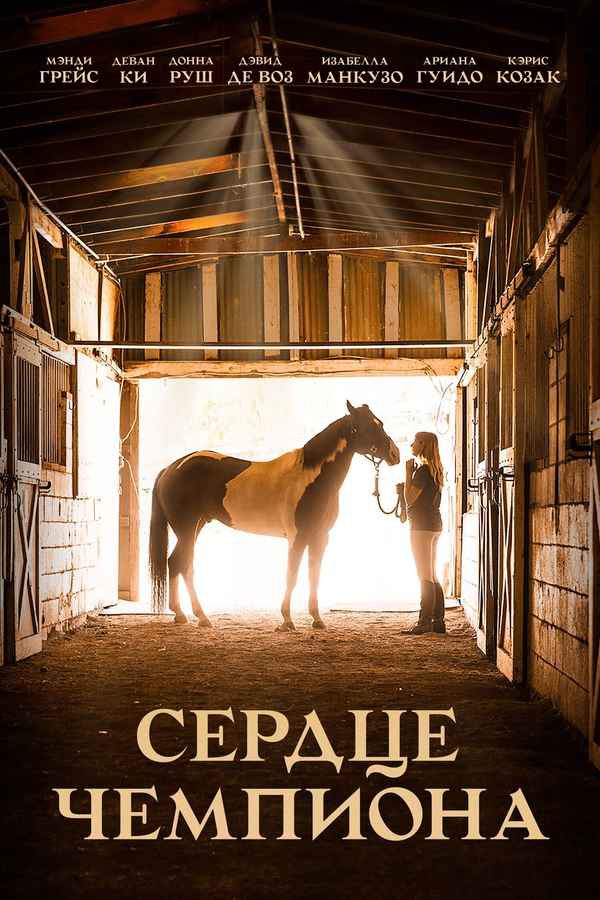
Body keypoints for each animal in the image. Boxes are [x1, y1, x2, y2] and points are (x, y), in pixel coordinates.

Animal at [148, 400, 400, 631]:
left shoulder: (320, 537)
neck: (310, 477)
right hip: (187, 529)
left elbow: (314, 575)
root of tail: (170, 468)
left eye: (379, 422)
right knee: (183, 564)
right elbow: (292, 575)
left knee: (177, 563)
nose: (395, 454)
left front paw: (317, 619)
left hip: (195, 527)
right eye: (369, 425)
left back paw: (184, 615)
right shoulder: (297, 538)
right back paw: (199, 616)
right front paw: (287, 620)